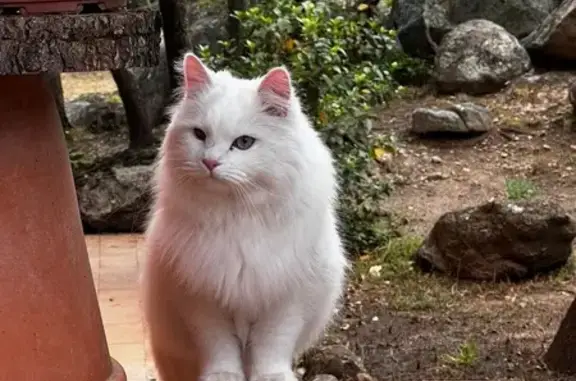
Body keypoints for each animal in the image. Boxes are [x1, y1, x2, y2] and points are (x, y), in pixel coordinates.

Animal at [142, 52, 348, 380]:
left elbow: (270, 348)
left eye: (243, 143)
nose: (210, 162)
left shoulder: (286, 299)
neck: (236, 215)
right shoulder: (202, 299)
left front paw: (272, 376)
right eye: (199, 135)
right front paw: (223, 376)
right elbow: (219, 348)